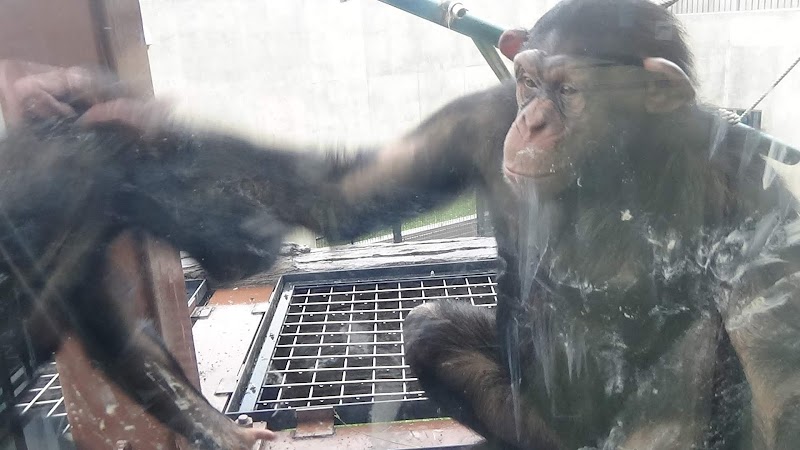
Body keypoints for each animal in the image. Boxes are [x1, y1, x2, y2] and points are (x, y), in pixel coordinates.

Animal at [1, 0, 800, 450]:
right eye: (528, 83)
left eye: (568, 91)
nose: (533, 123)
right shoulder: (476, 121)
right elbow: (342, 195)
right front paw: (113, 112)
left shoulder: (756, 194)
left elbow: (773, 373)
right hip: (538, 421)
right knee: (435, 330)